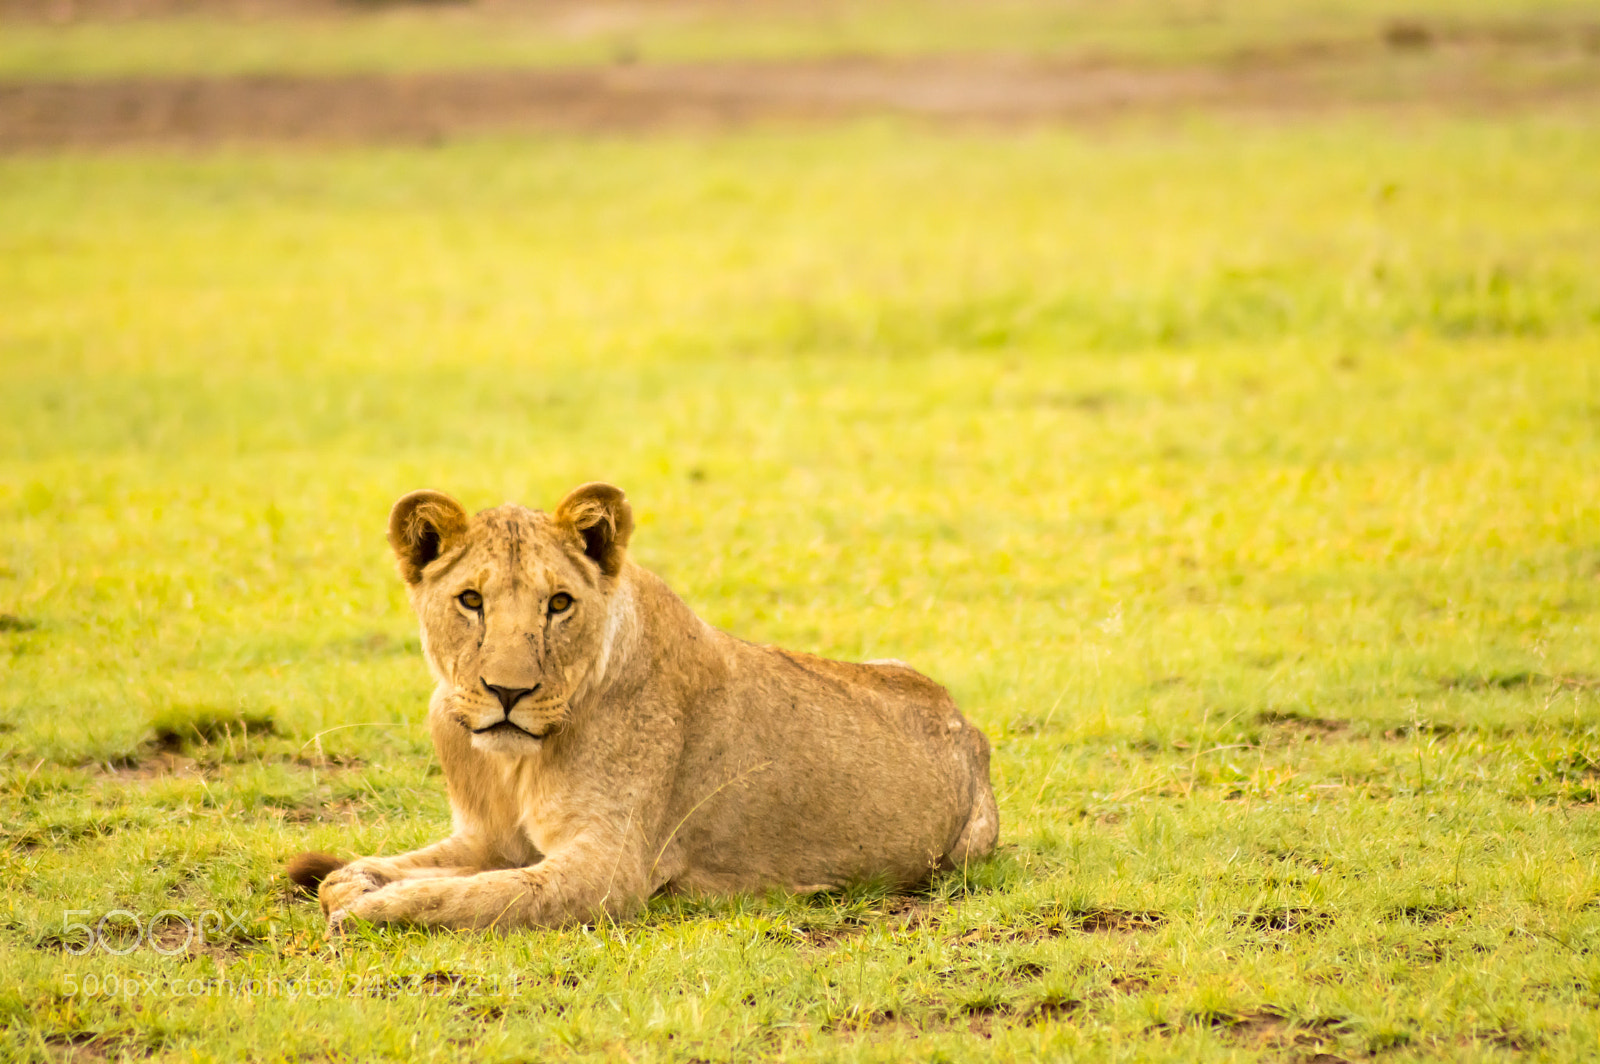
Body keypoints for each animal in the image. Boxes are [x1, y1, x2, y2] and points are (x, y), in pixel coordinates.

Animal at [289, 483, 998, 931]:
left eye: (559, 603)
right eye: (470, 600)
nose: (509, 692)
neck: (516, 765)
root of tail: (970, 729)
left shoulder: (606, 869)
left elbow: (476, 896)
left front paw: (372, 908)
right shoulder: (485, 835)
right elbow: (389, 870)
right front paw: (358, 880)